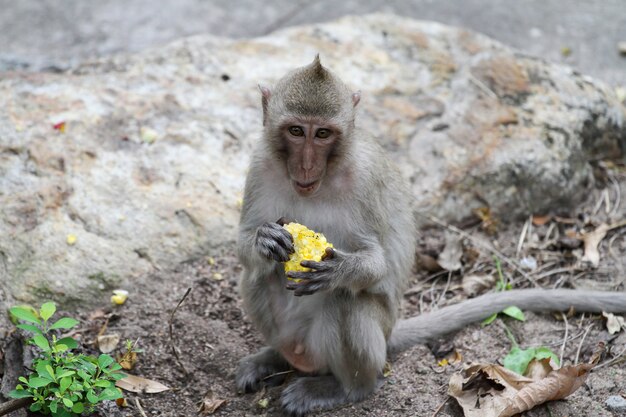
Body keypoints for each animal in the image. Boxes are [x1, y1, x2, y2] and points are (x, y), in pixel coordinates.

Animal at [234, 56, 624, 416]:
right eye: (296, 131)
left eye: (323, 134)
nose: (306, 165)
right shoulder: (260, 164)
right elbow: (245, 246)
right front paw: (264, 240)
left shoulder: (364, 178)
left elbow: (376, 262)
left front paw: (340, 270)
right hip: (294, 335)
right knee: (256, 277)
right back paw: (274, 357)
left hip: (370, 342)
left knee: (345, 301)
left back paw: (344, 388)